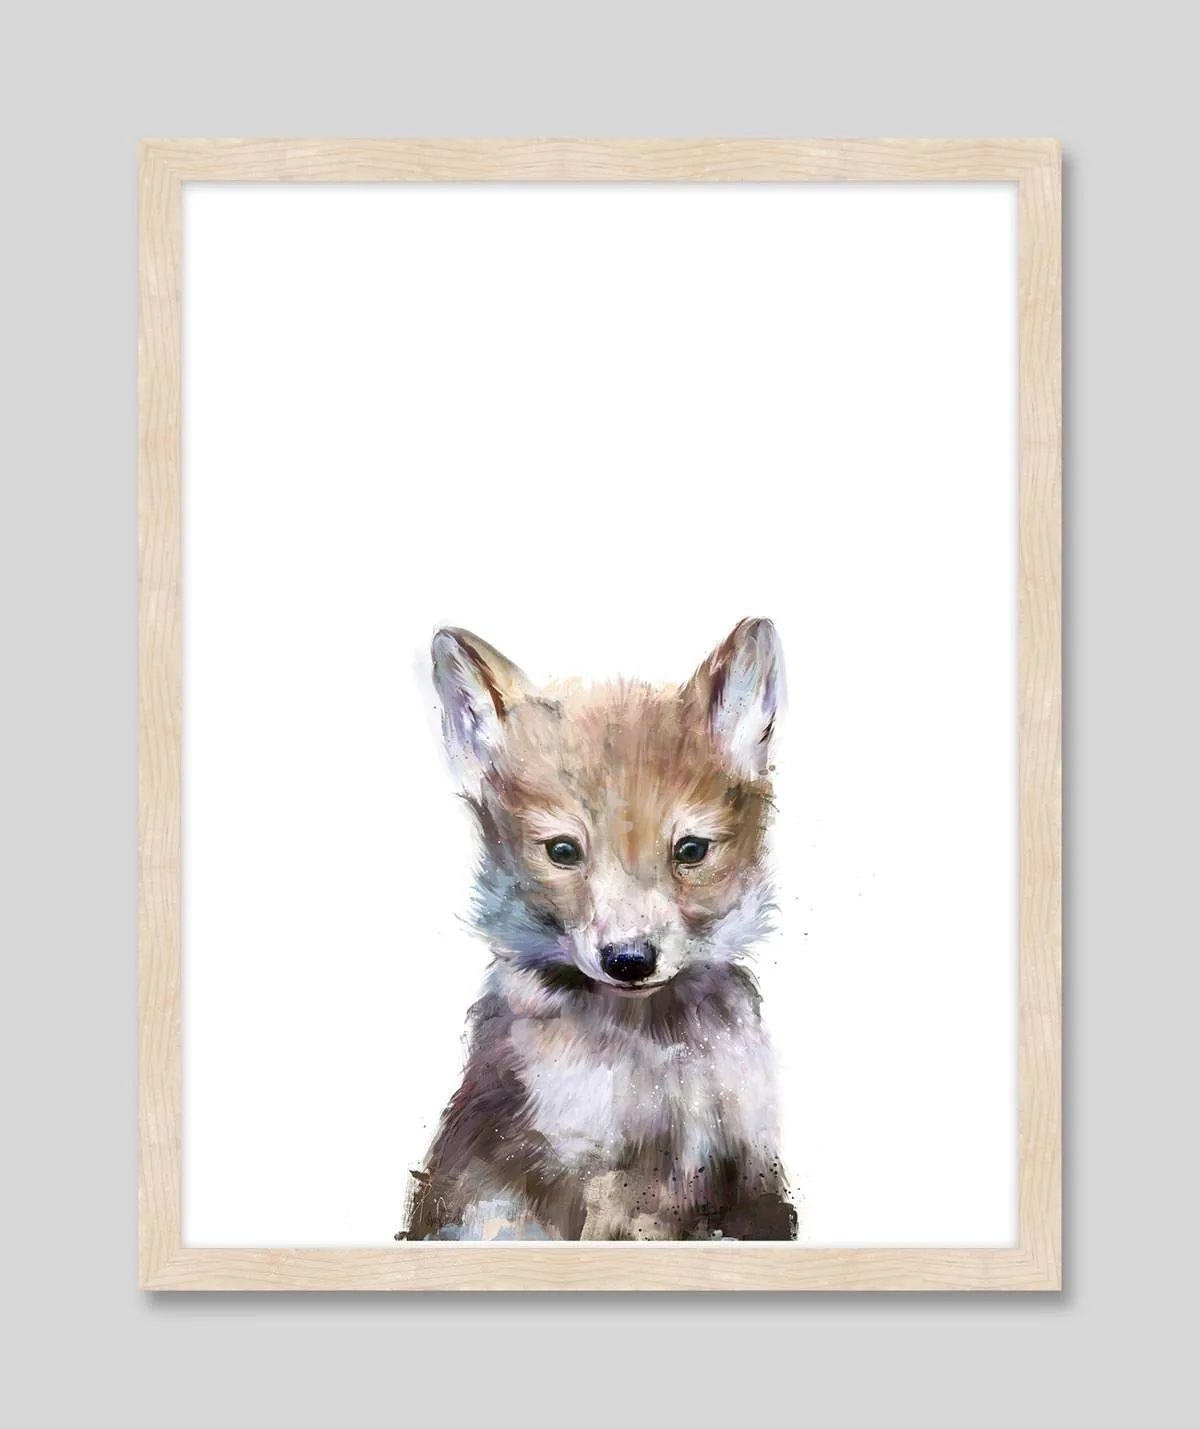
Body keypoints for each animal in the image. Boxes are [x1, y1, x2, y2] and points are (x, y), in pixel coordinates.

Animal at [399, 618, 797, 1241]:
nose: (629, 961)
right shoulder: (582, 1174)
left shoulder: (749, 1171)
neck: (654, 1053)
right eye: (563, 851)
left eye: (691, 850)